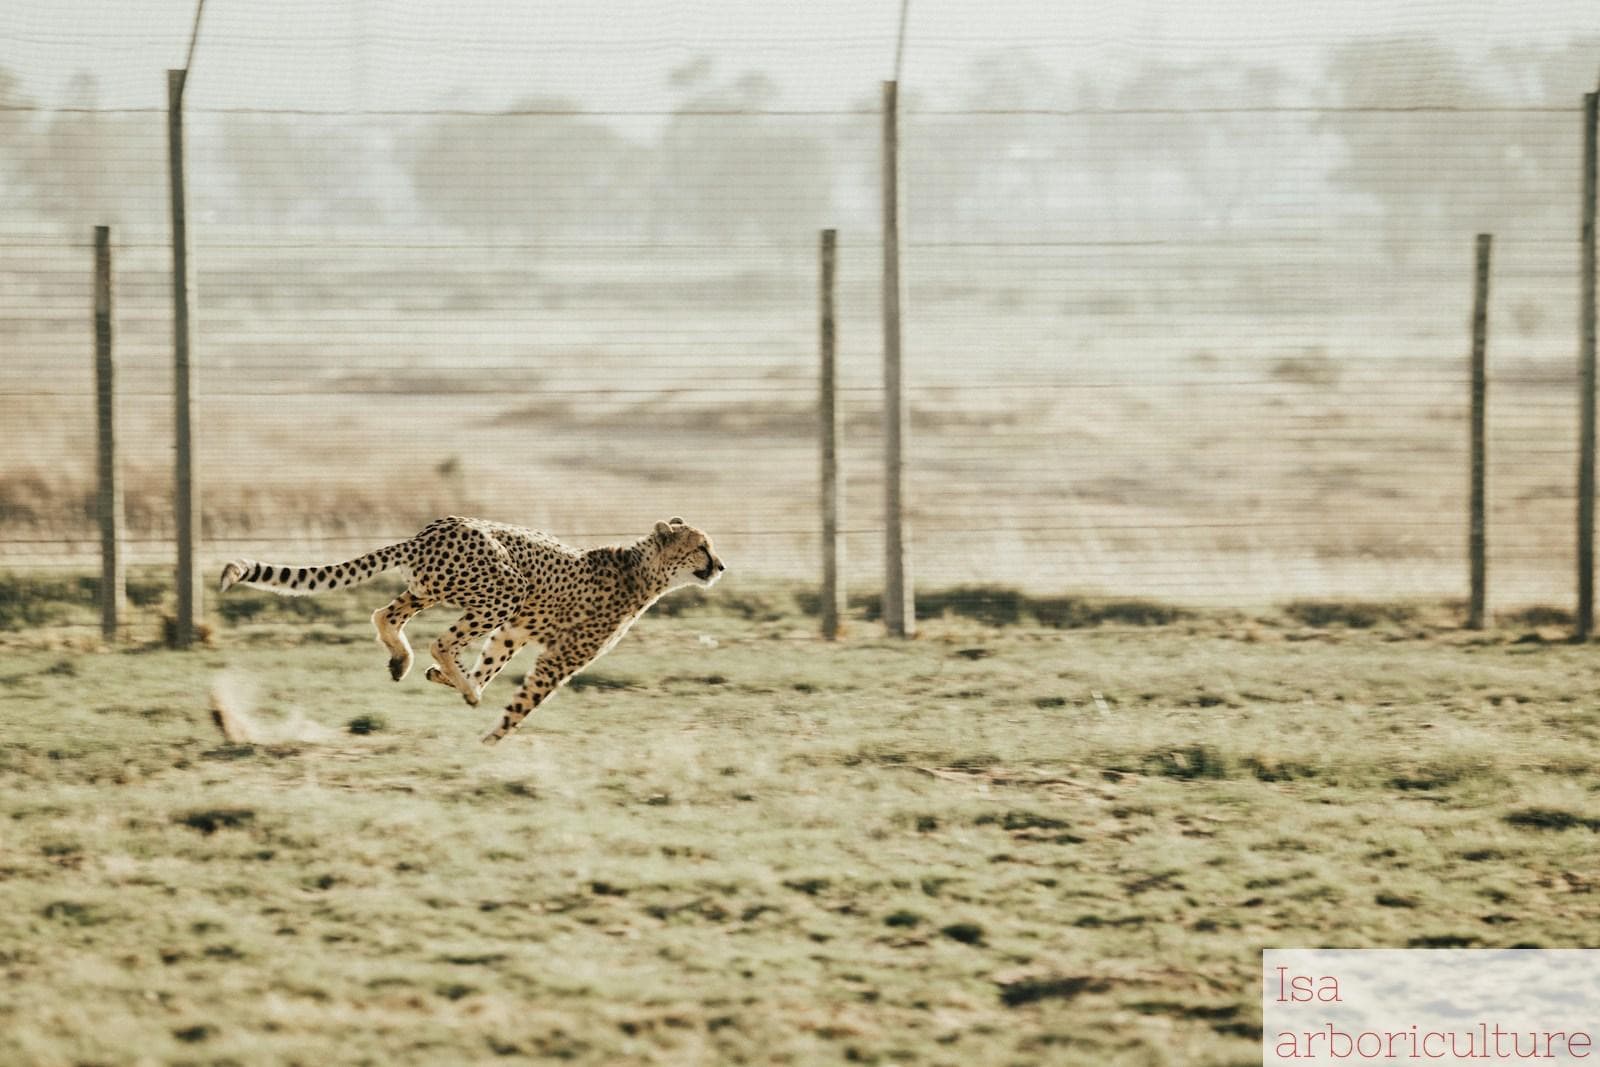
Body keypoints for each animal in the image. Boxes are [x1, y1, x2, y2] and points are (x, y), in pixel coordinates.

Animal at [217, 516, 725, 744]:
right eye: (701, 547)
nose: (720, 565)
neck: (642, 569)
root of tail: (432, 529)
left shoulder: (515, 631)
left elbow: (492, 661)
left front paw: (455, 683)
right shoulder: (558, 657)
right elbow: (523, 702)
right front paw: (490, 739)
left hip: (435, 589)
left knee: (386, 615)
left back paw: (407, 663)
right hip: (505, 588)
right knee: (439, 639)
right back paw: (454, 681)